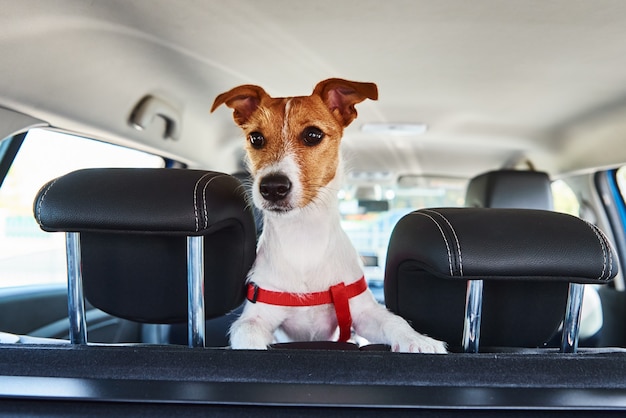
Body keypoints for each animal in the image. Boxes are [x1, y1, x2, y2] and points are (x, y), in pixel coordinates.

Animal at [212, 78, 446, 352]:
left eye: (313, 135)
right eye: (256, 138)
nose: (272, 187)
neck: (303, 238)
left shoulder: (364, 313)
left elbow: (394, 321)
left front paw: (418, 340)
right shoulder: (256, 316)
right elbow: (246, 333)